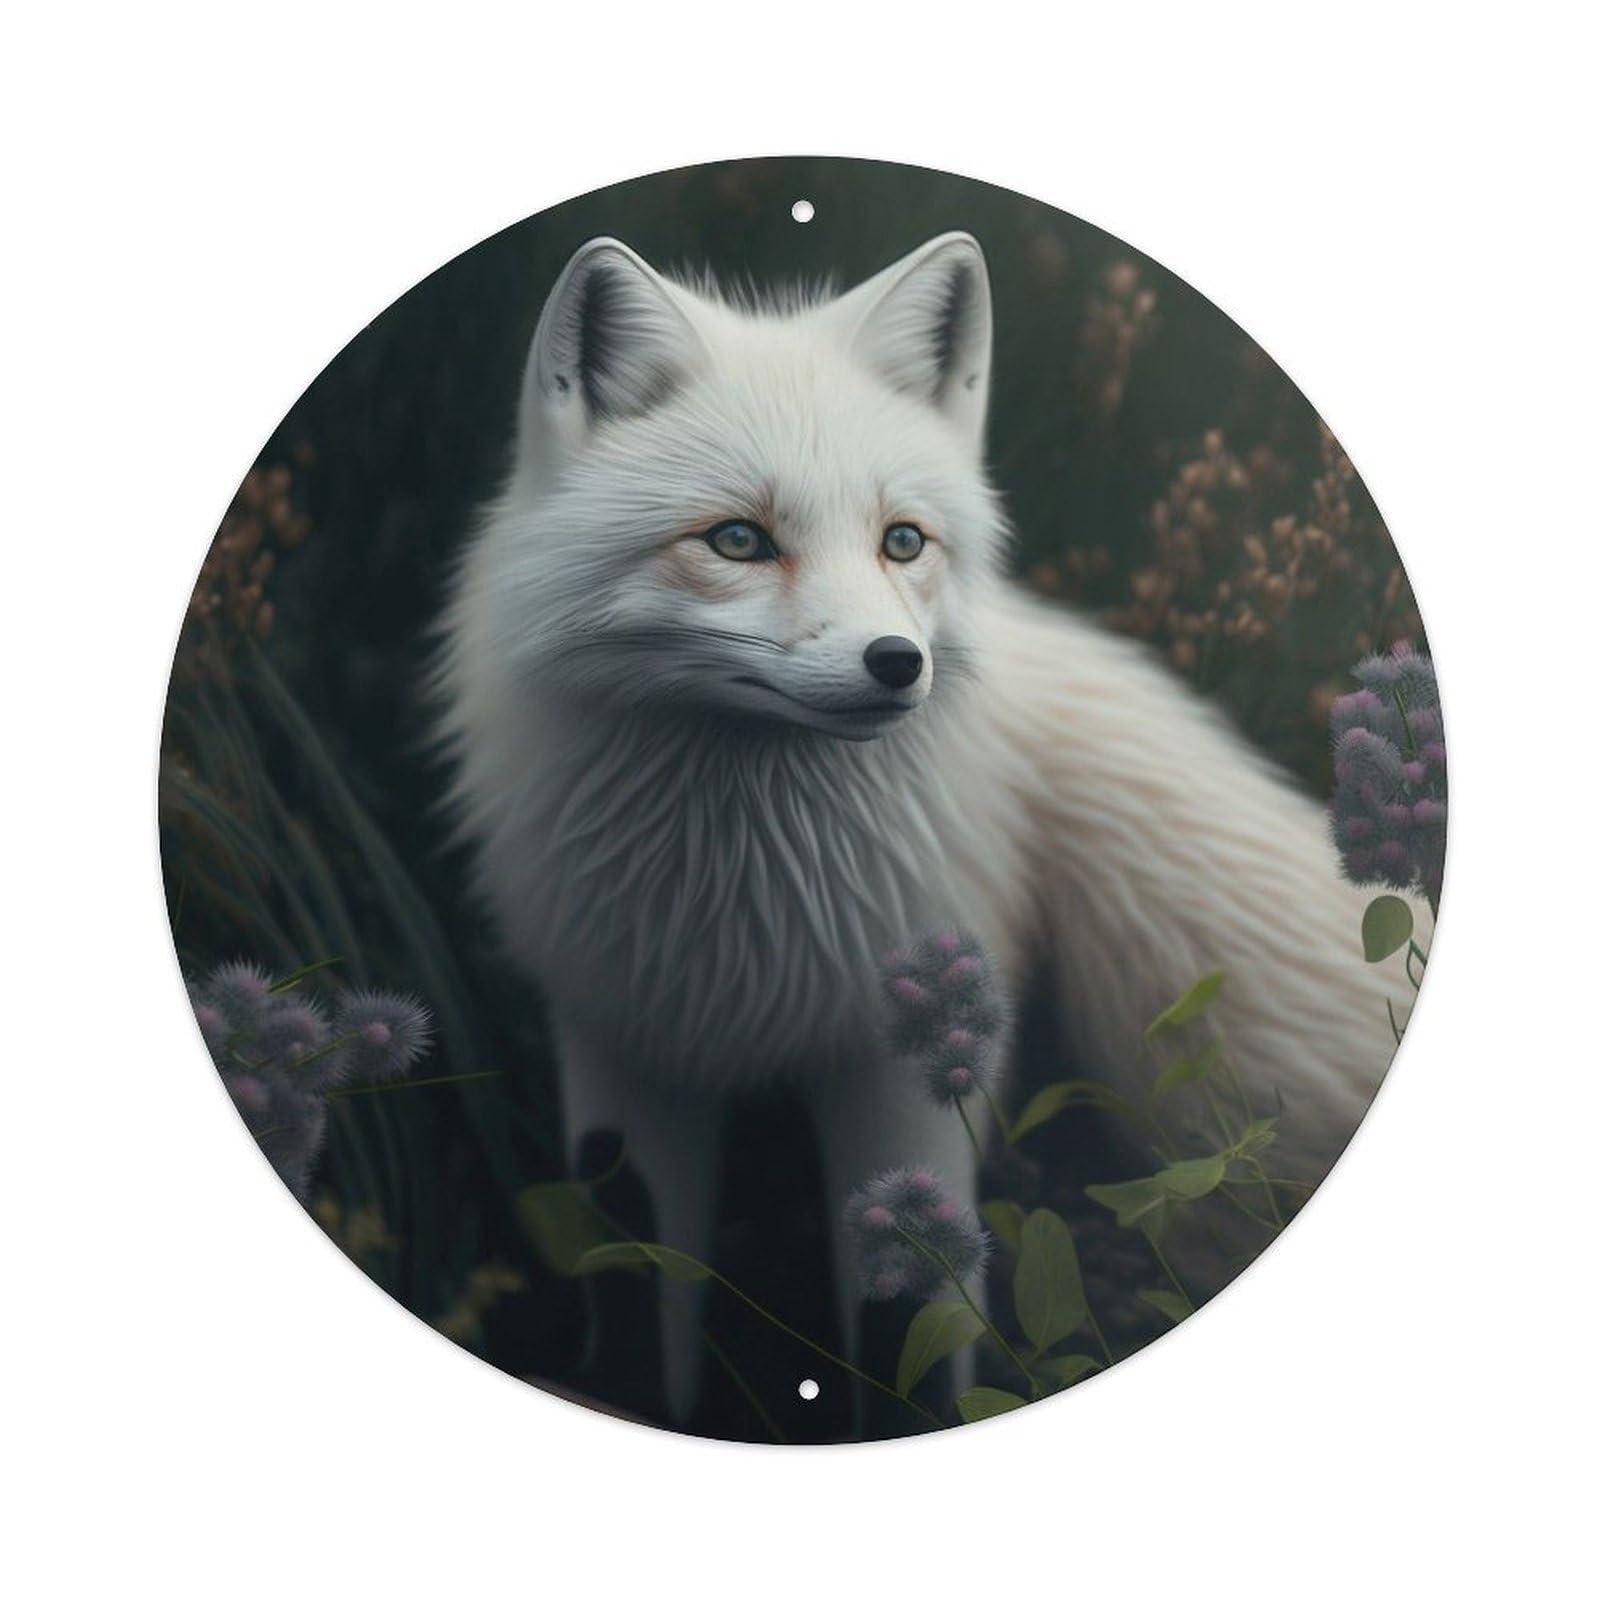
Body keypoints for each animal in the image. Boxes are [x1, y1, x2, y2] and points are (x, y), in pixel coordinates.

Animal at [435, 231, 1422, 1422]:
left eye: (902, 541)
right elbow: (628, 1289)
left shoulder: (912, 1071)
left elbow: (912, 1325)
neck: (738, 919)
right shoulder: (619, 1042)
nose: (896, 665)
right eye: (737, 539)